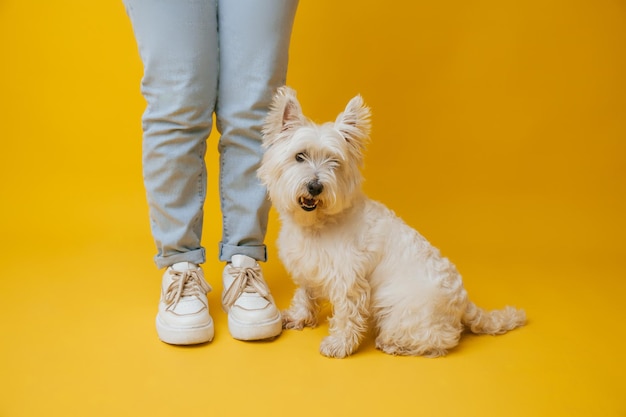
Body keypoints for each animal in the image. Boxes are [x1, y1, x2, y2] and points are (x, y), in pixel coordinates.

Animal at [256, 87, 524, 358]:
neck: (317, 223)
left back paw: (394, 343)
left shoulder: (349, 279)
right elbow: (305, 295)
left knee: (439, 339)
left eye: (334, 162)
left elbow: (347, 314)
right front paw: (298, 317)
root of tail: (464, 301)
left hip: (400, 307)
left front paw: (339, 344)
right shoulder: (308, 269)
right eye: (299, 156)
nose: (315, 186)